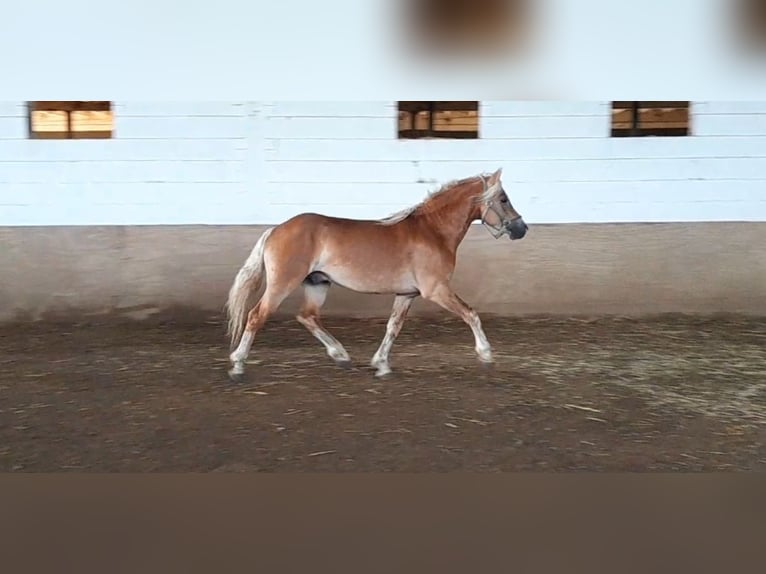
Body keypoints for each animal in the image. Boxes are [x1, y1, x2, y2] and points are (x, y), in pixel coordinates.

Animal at [225, 168, 532, 382]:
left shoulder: (407, 294)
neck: (432, 231)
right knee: (256, 316)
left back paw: (341, 356)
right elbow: (471, 314)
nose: (522, 229)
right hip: (282, 283)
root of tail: (275, 229)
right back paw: (238, 365)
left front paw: (381, 365)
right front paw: (486, 354)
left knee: (307, 316)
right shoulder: (437, 289)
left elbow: (393, 327)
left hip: (318, 283)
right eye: (503, 199)